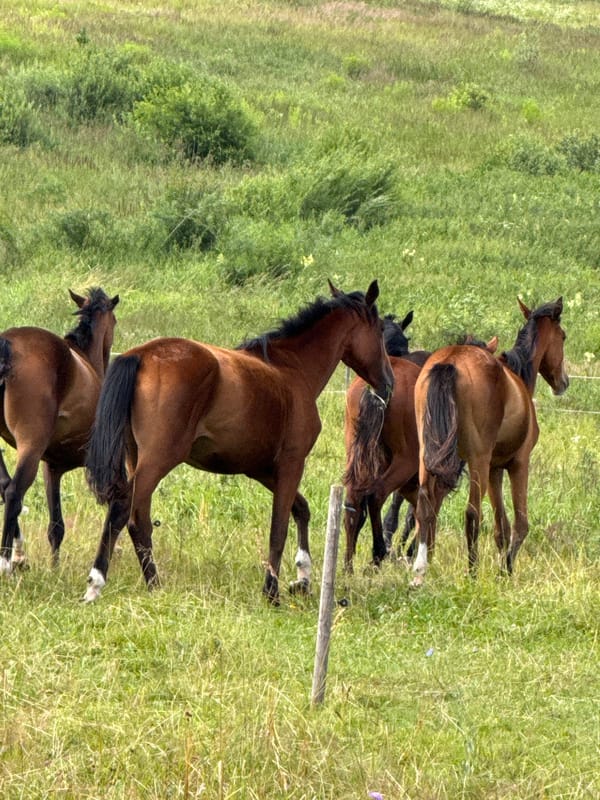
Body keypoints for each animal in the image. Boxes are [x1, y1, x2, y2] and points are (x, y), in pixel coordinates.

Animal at [0, 288, 119, 574]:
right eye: (115, 320)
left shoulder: (51, 467)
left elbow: (56, 527)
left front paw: (54, 569)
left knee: (4, 487)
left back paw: (19, 555)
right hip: (30, 446)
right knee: (13, 493)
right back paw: (7, 562)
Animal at [83, 280, 394, 604]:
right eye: (379, 332)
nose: (388, 382)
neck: (292, 369)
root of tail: (142, 354)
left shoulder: (262, 469)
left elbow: (301, 509)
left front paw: (303, 576)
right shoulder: (291, 463)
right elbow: (278, 528)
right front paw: (272, 592)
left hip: (137, 460)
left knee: (133, 518)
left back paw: (140, 584)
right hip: (158, 460)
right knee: (126, 512)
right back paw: (109, 583)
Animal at [343, 327, 497, 573]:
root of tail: (377, 389)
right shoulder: (437, 482)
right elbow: (426, 513)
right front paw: (419, 553)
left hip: (356, 456)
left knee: (353, 501)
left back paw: (348, 565)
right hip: (404, 462)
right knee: (376, 495)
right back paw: (378, 553)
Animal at [411, 298, 568, 587]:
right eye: (562, 336)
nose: (563, 382)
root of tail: (451, 362)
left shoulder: (495, 469)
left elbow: (501, 527)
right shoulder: (518, 464)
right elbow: (519, 524)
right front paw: (505, 570)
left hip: (429, 457)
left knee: (425, 505)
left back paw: (420, 571)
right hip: (478, 462)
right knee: (472, 513)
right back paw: (472, 572)